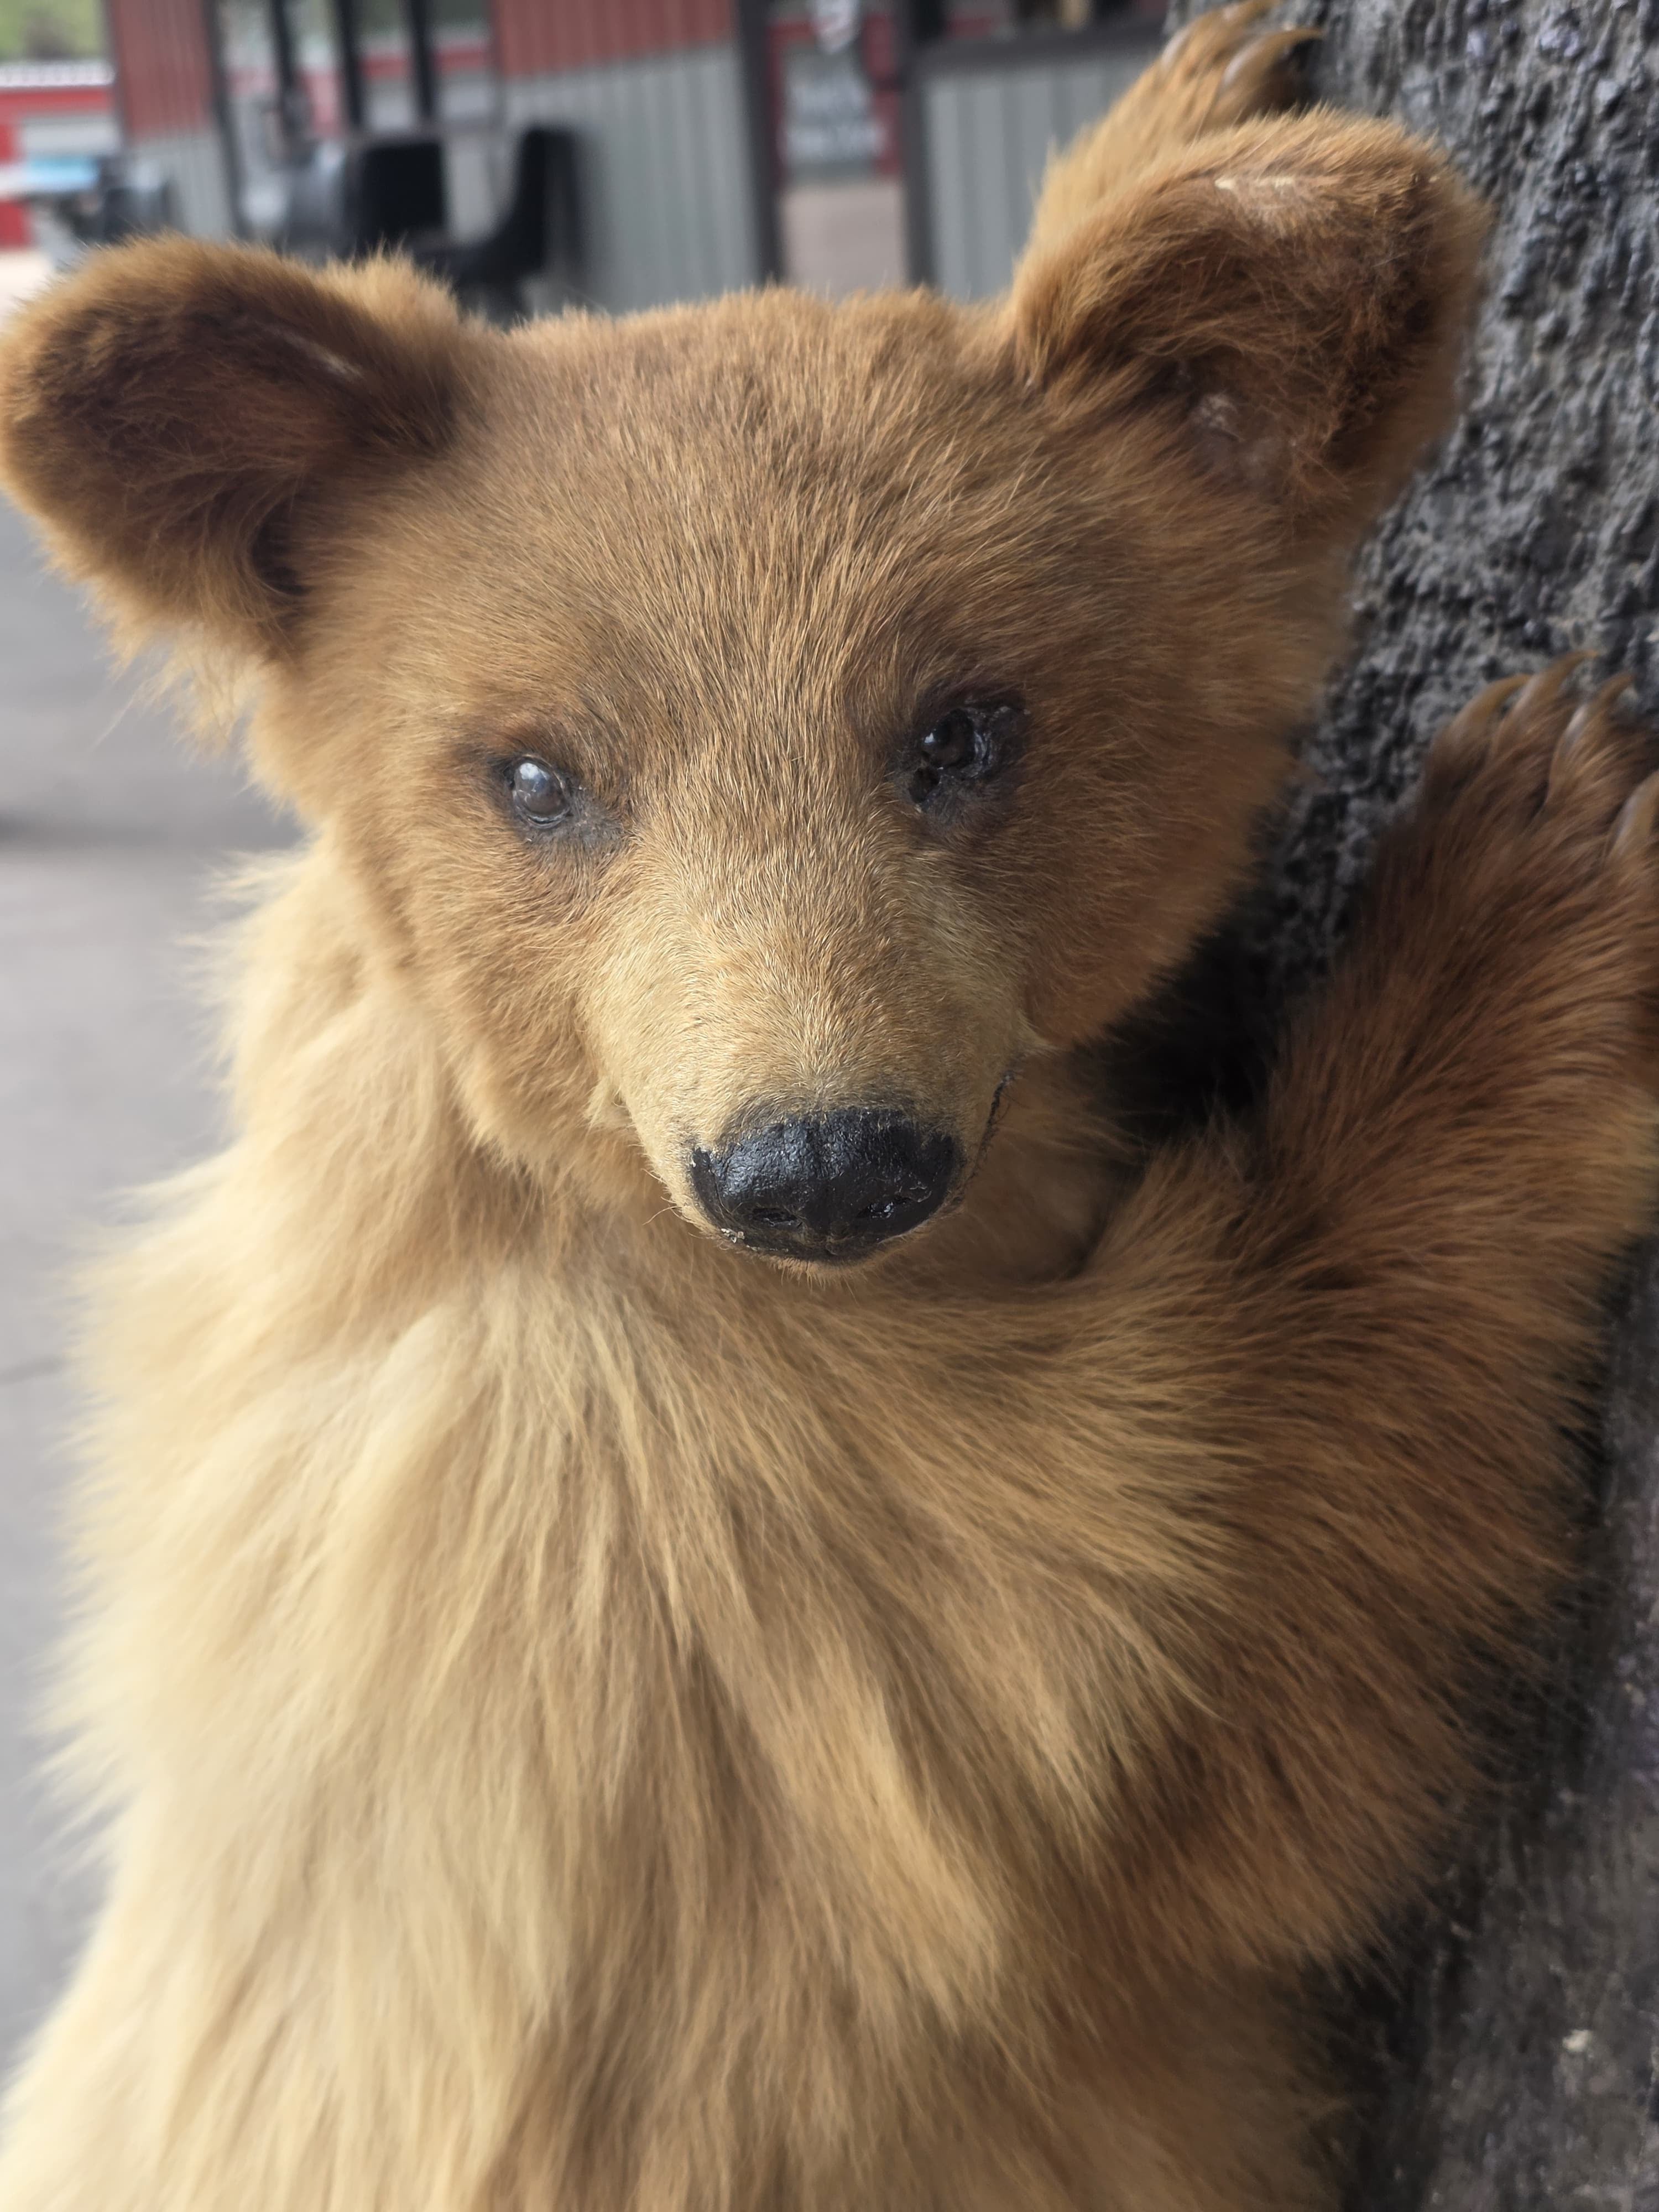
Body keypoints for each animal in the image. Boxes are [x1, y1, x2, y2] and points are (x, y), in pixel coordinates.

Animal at [1, 4, 1656, 2205]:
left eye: (966, 727)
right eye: (535, 774)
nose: (818, 1163)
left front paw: (1198, 96)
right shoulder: (688, 1605)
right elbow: (1205, 1634)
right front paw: (1518, 884)